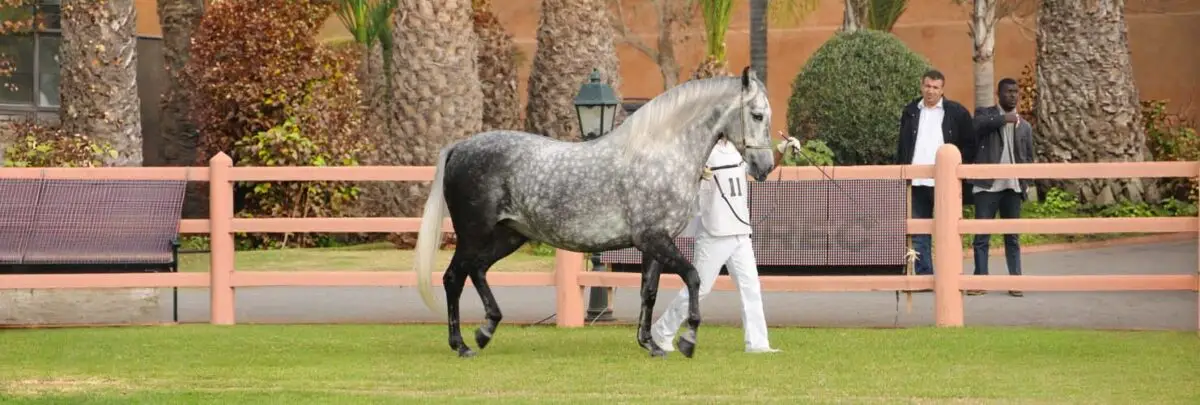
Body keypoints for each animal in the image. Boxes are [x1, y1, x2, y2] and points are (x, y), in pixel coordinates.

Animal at [413, 66, 776, 359]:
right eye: (758, 115)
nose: (766, 167)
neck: (660, 153)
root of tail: (460, 148)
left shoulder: (653, 245)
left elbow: (649, 291)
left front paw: (651, 344)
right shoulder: (655, 239)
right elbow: (693, 276)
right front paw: (688, 340)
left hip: (508, 236)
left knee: (477, 271)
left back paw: (485, 331)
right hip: (474, 234)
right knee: (453, 278)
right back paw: (462, 345)